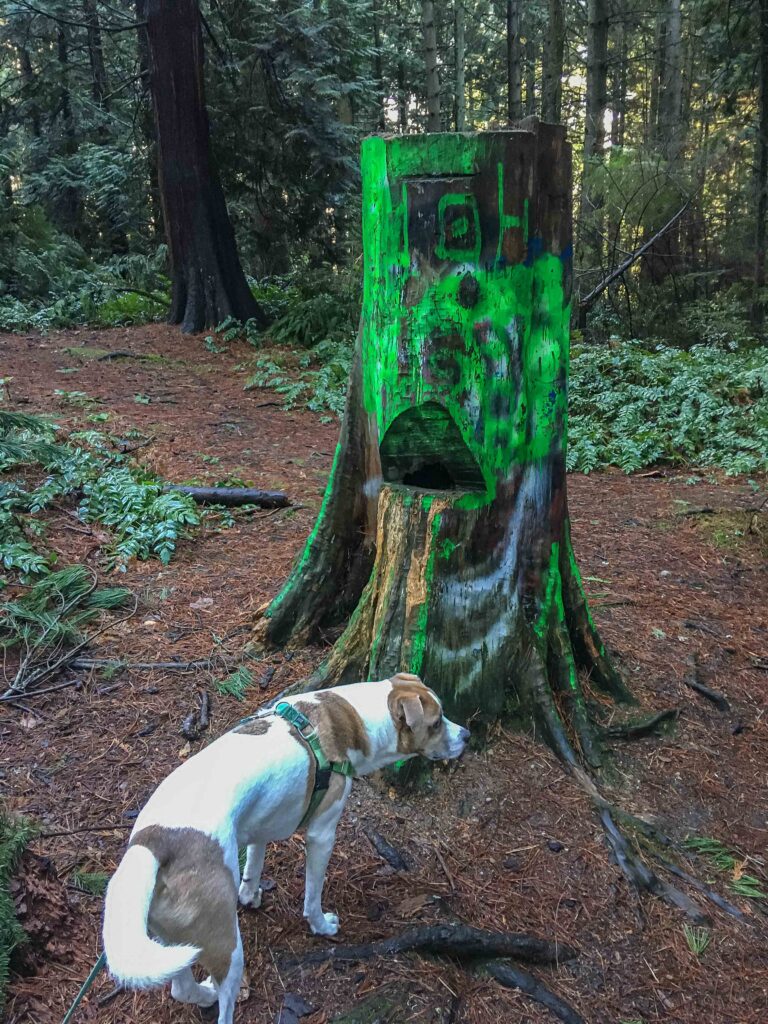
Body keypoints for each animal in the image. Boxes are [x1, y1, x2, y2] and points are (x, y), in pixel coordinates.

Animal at [102, 671, 468, 1024]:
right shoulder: (322, 834)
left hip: (170, 941)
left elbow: (253, 866)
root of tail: (154, 843)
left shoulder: (259, 824)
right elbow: (313, 896)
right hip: (226, 947)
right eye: (436, 723)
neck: (353, 718)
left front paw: (250, 895)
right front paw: (321, 925)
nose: (466, 735)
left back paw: (203, 994)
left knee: (181, 988)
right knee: (223, 1005)